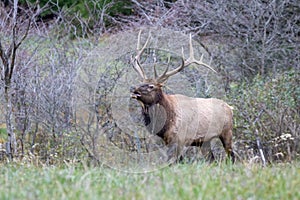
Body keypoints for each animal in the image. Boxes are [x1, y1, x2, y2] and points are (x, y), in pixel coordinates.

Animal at [129, 31, 234, 162]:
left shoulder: (180, 138)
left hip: (227, 131)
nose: (134, 90)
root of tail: (230, 108)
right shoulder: (169, 140)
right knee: (211, 159)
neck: (167, 120)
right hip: (205, 141)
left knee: (232, 157)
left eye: (151, 86)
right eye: (141, 82)